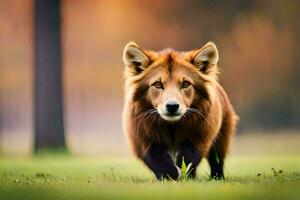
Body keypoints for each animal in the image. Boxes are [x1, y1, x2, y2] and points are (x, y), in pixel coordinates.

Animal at [123, 41, 238, 180]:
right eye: (157, 84)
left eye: (185, 84)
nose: (172, 106)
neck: (172, 128)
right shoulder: (143, 140)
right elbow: (159, 161)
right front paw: (170, 176)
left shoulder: (199, 138)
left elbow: (187, 158)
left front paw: (182, 175)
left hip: (221, 138)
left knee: (217, 161)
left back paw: (216, 177)